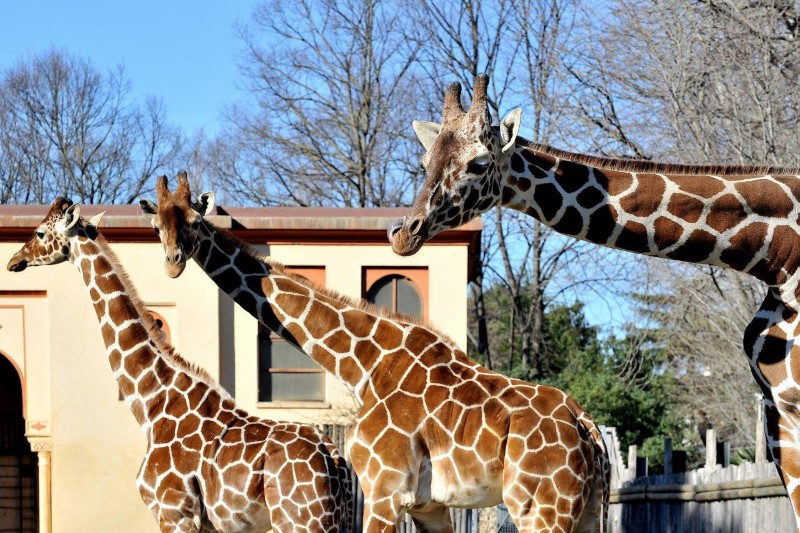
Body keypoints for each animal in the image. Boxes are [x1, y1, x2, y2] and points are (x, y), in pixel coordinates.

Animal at [5, 196, 350, 532]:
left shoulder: (173, 511)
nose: (14, 261)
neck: (150, 402)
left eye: (39, 233)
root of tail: (335, 459)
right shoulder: (203, 523)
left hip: (299, 521)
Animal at [139, 172, 612, 528]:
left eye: (193, 220)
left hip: (539, 508)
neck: (363, 364)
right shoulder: (429, 504)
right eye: (157, 226)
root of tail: (589, 429)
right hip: (585, 509)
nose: (173, 263)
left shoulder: (385, 491)